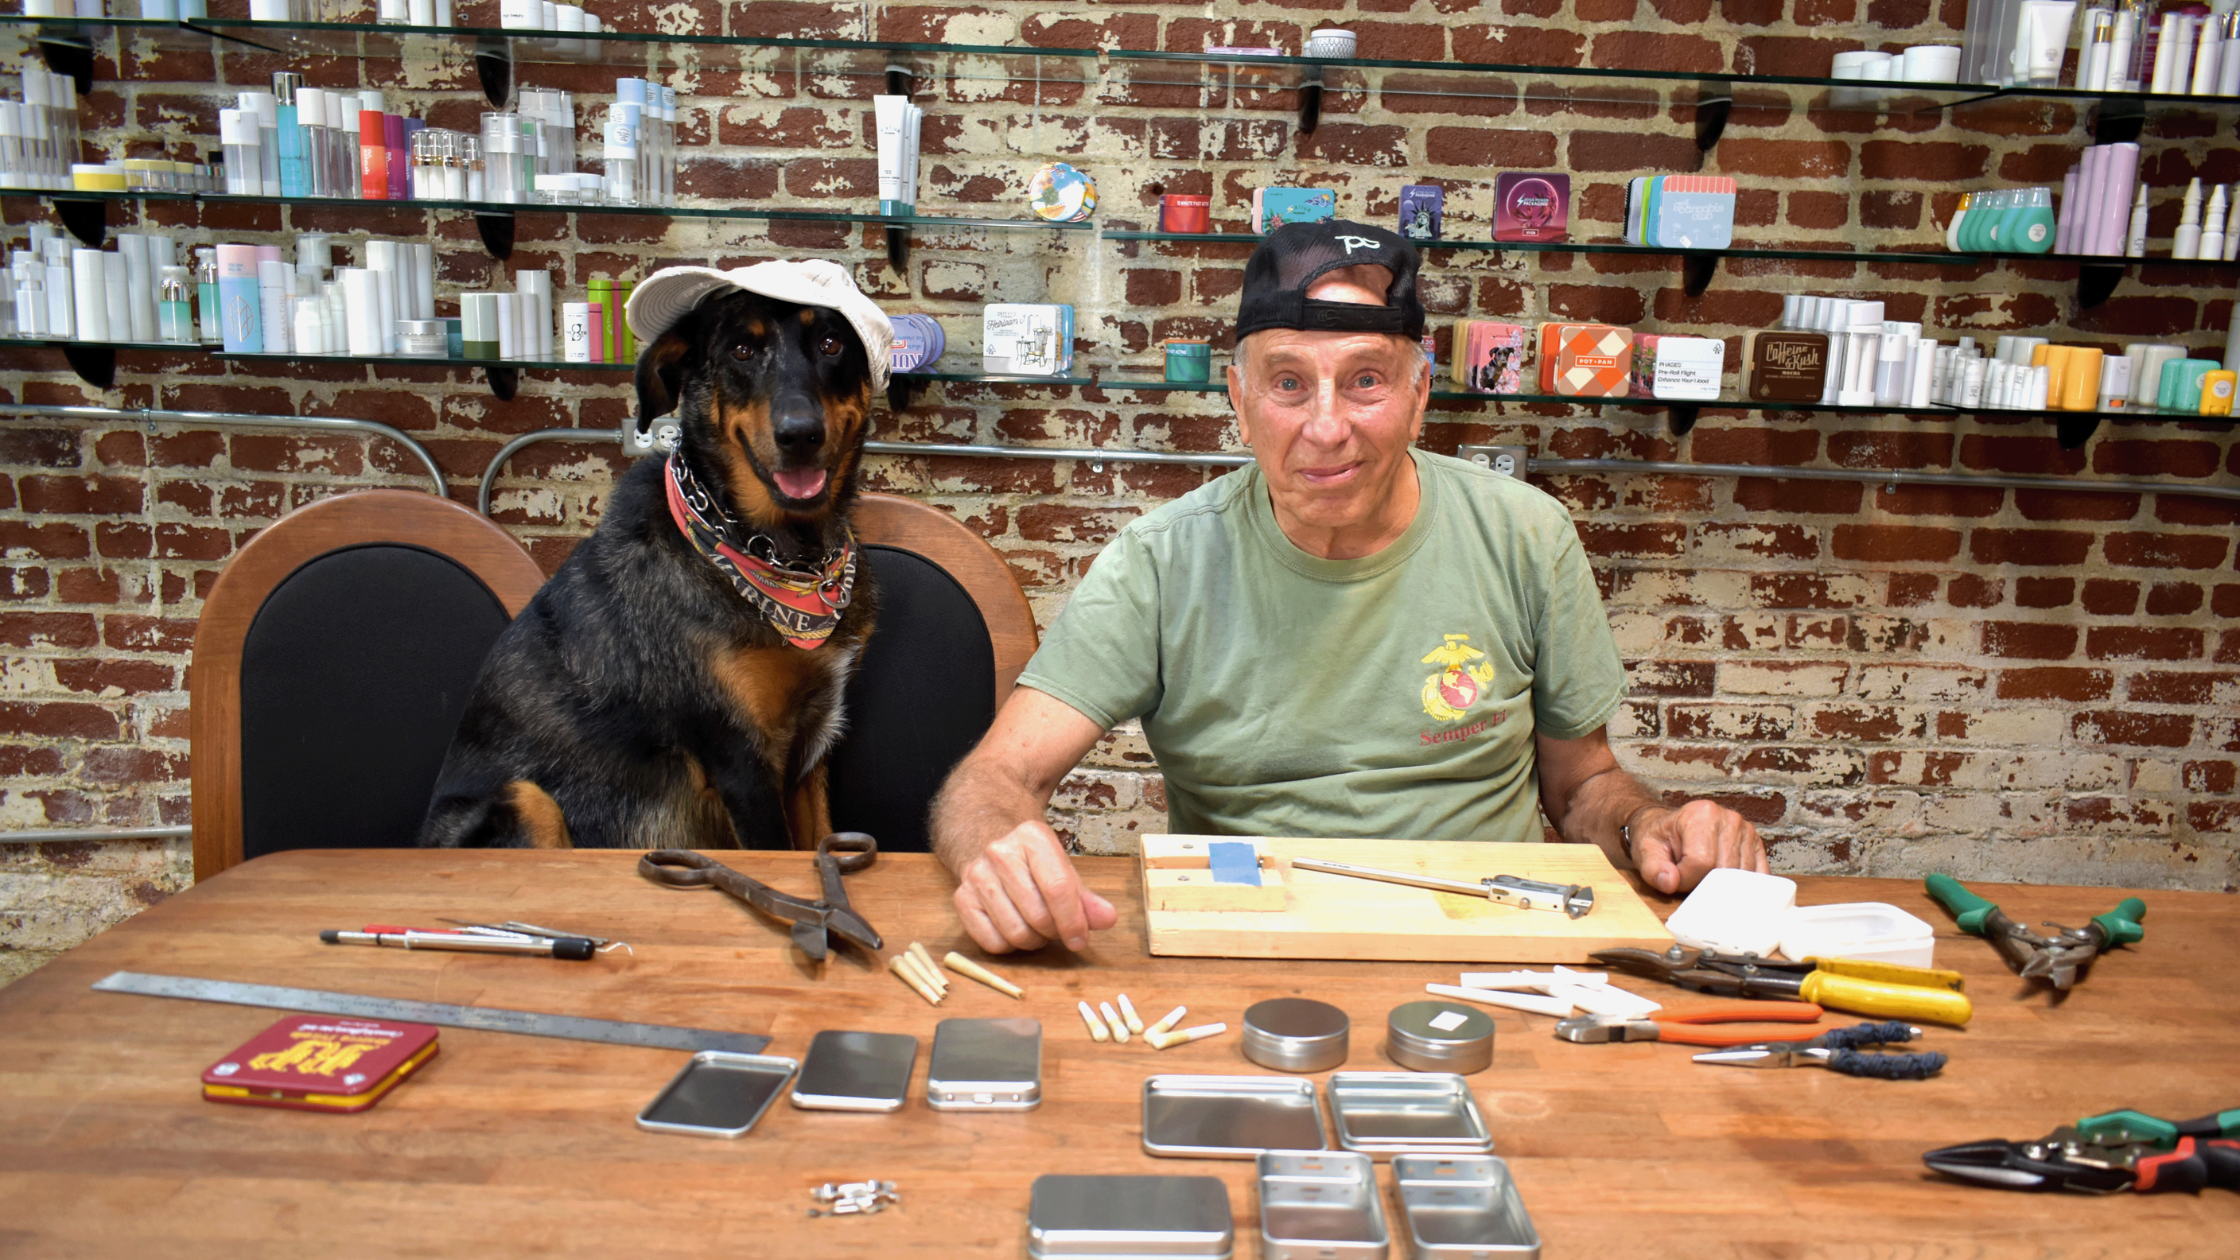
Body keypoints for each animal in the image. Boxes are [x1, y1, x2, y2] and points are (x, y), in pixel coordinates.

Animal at [416, 264, 887, 851]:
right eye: (741, 351)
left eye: (830, 343)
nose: (800, 434)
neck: (781, 556)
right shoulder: (742, 762)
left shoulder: (810, 747)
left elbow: (819, 837)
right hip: (524, 800)